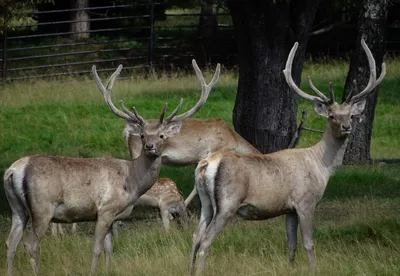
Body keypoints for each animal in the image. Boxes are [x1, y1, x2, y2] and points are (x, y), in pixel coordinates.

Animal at [2, 59, 219, 276]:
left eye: (162, 135)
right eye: (142, 135)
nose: (150, 147)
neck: (131, 181)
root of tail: (13, 170)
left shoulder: (113, 216)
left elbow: (109, 248)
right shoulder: (105, 209)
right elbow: (97, 248)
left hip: (17, 208)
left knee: (10, 243)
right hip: (42, 206)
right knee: (30, 244)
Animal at [189, 39, 386, 276]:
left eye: (351, 115)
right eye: (331, 116)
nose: (346, 127)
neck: (321, 165)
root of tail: (206, 163)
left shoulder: (288, 208)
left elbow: (291, 244)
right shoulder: (305, 201)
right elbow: (309, 243)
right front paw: (314, 269)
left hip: (205, 202)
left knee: (195, 237)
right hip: (228, 201)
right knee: (206, 241)